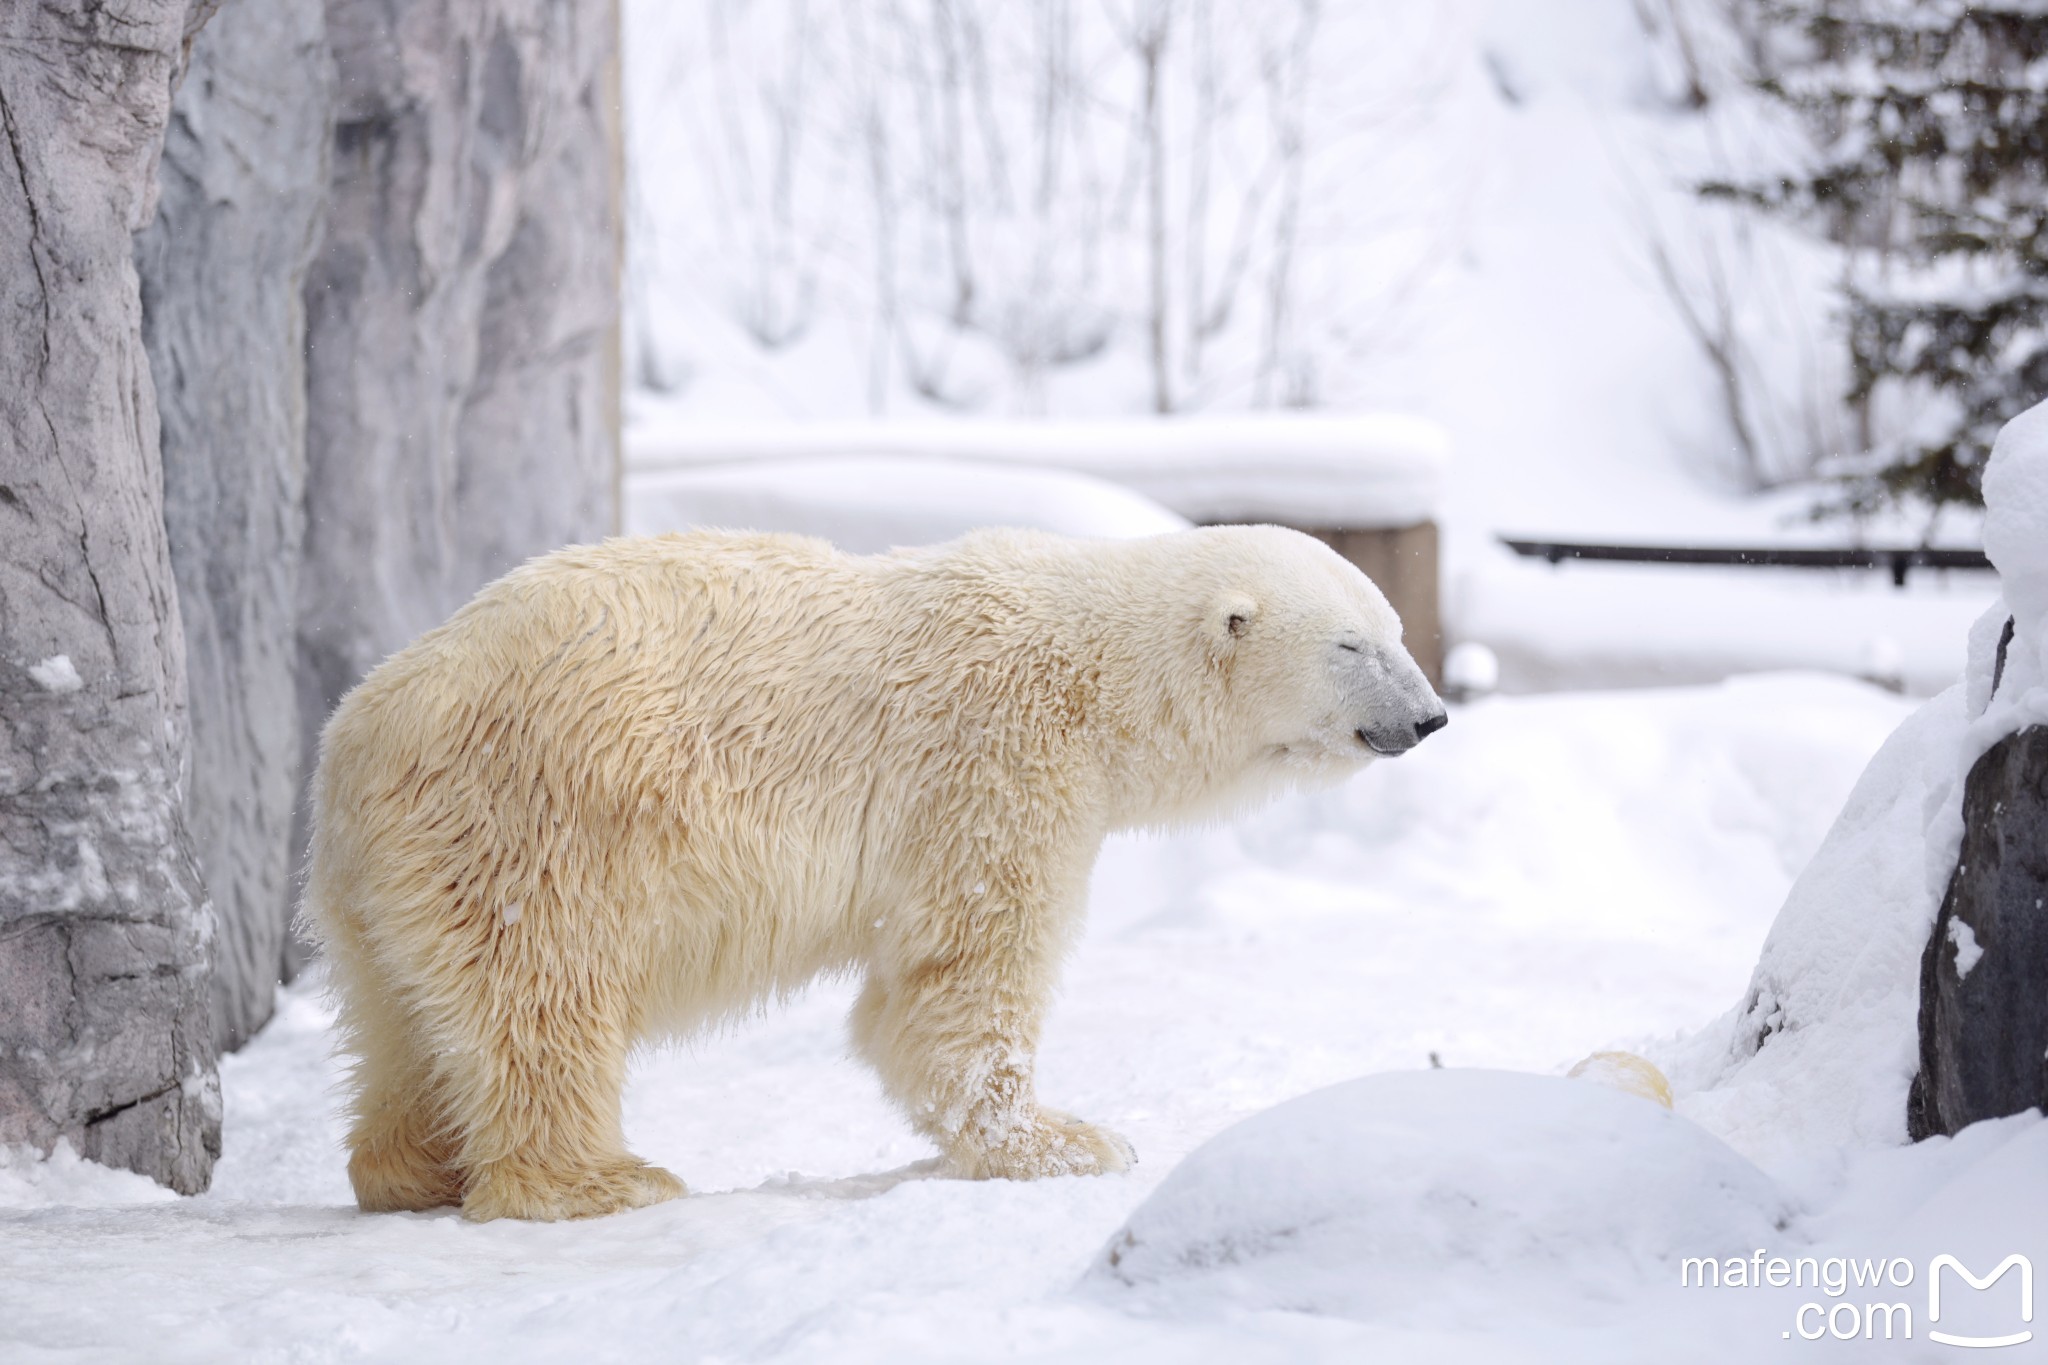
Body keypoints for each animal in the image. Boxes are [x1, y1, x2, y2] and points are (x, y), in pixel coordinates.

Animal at [303, 527, 1449, 1219]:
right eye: (1352, 645)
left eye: (1396, 631)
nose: (1432, 715)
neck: (1089, 666)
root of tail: (361, 731)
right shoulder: (993, 765)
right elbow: (960, 973)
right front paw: (1067, 1142)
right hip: (539, 823)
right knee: (543, 995)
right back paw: (602, 1177)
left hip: (396, 870)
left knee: (403, 1017)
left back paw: (409, 1168)